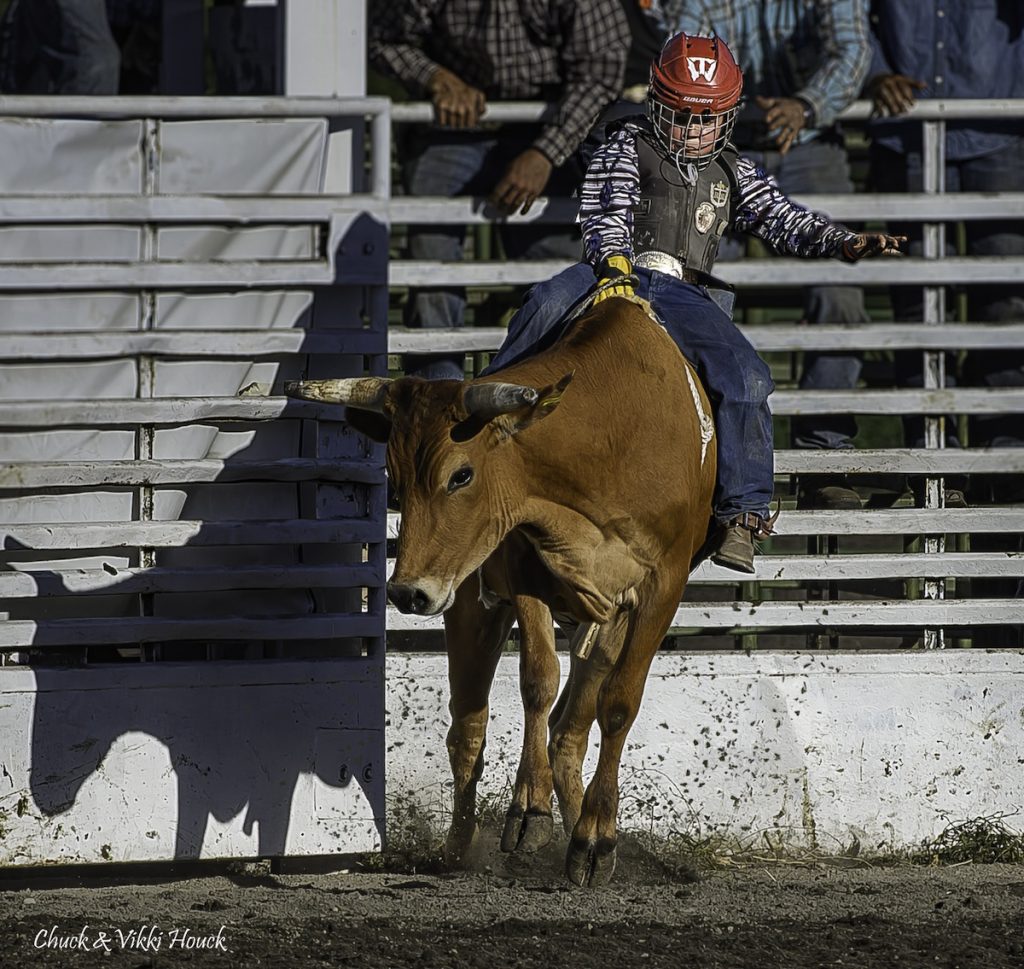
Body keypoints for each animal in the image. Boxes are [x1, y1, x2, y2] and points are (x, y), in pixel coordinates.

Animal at [284, 297, 716, 885]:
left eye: (461, 475)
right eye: (396, 478)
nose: (407, 593)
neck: (610, 441)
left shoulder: (661, 589)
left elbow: (618, 705)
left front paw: (596, 837)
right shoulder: (521, 566)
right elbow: (538, 679)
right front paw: (529, 809)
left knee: (571, 728)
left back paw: (578, 829)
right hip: (470, 606)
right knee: (469, 726)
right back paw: (458, 846)